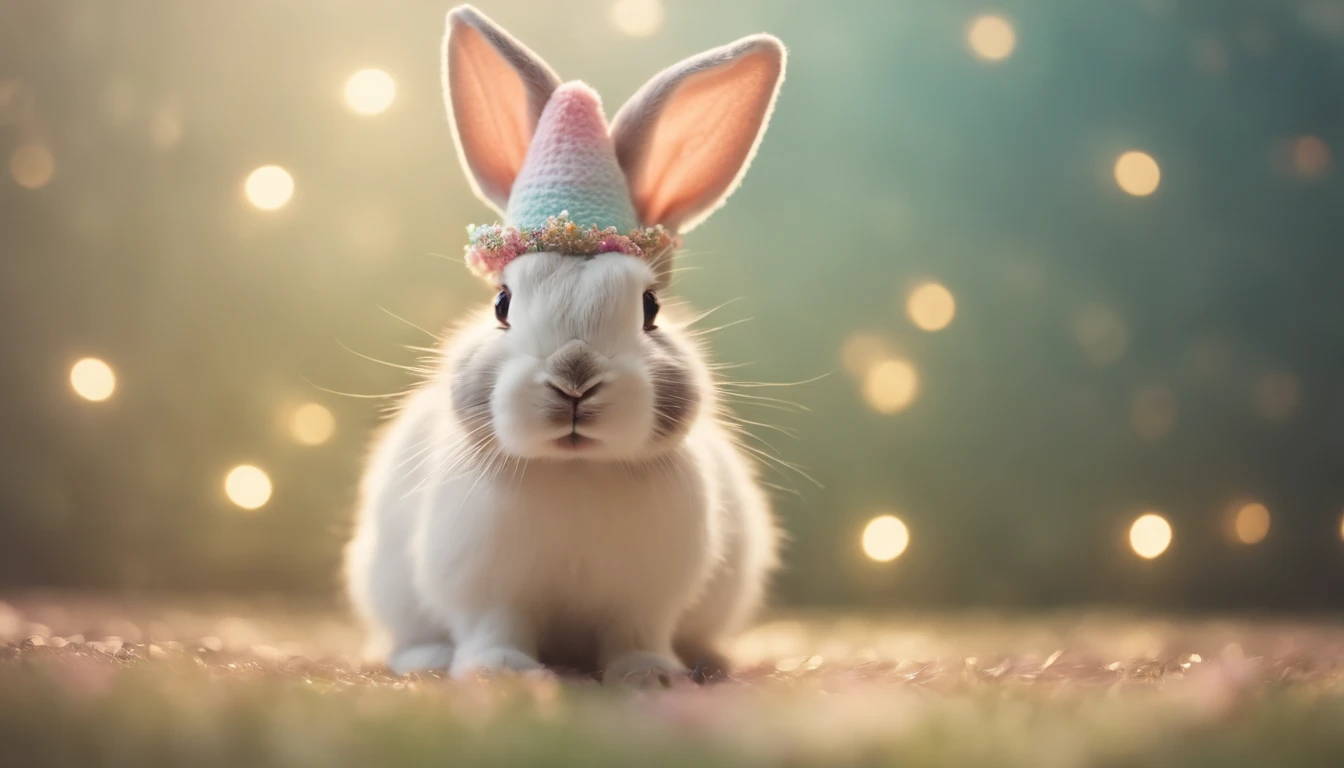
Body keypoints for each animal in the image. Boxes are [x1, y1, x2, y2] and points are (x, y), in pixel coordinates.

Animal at [344, 3, 784, 683]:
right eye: (502, 304)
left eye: (650, 310)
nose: (574, 376)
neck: (574, 472)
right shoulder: (487, 588)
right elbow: (495, 627)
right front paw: (500, 674)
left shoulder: (644, 598)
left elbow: (637, 634)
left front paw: (649, 677)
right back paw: (425, 661)